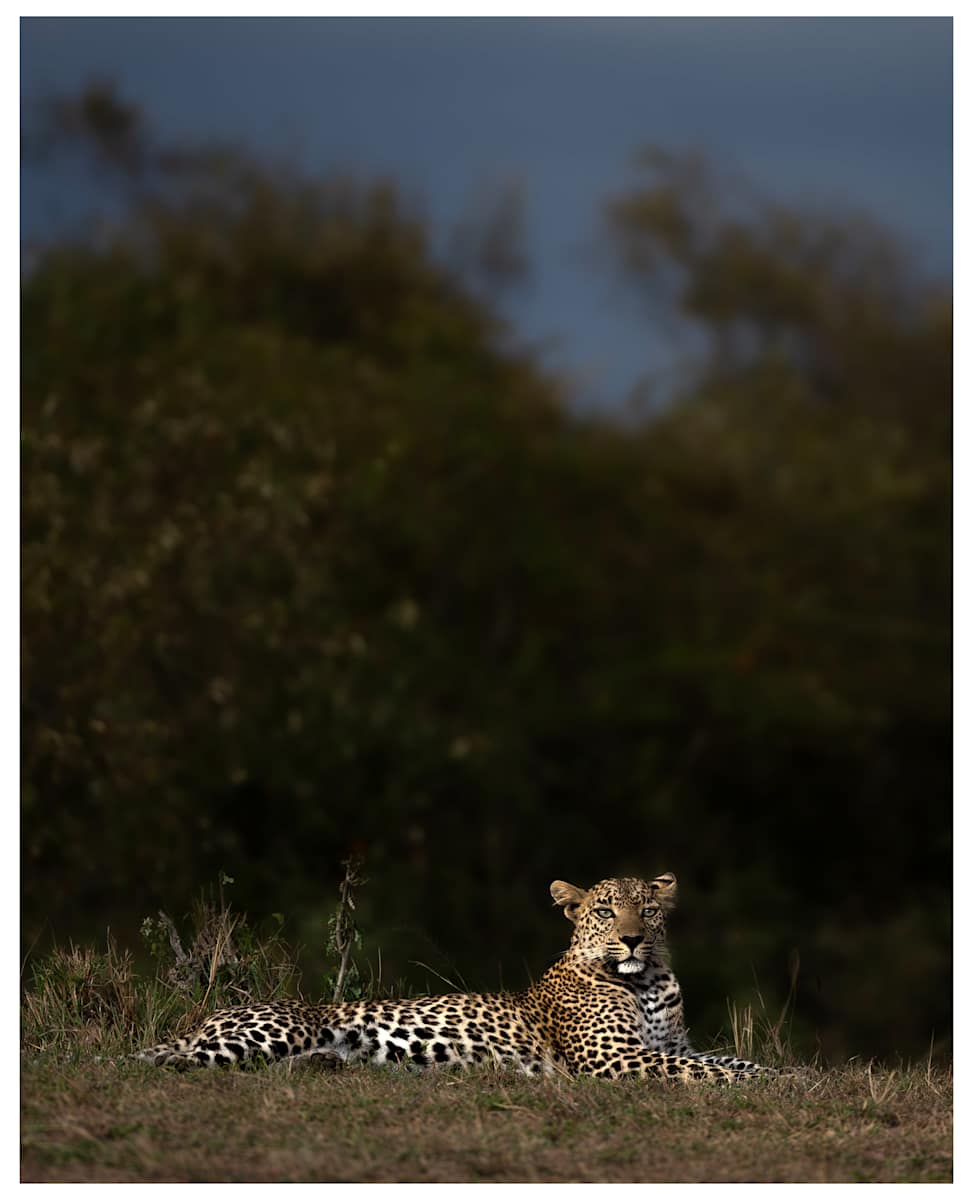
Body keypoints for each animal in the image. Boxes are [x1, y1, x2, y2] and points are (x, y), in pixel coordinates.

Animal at [138, 872, 770, 1082]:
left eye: (648, 908)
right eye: (605, 912)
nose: (634, 938)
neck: (648, 980)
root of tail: (207, 1018)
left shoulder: (671, 1045)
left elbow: (726, 1059)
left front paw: (781, 1075)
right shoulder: (614, 1058)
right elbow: (705, 1071)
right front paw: (776, 1081)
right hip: (273, 1030)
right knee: (163, 1061)